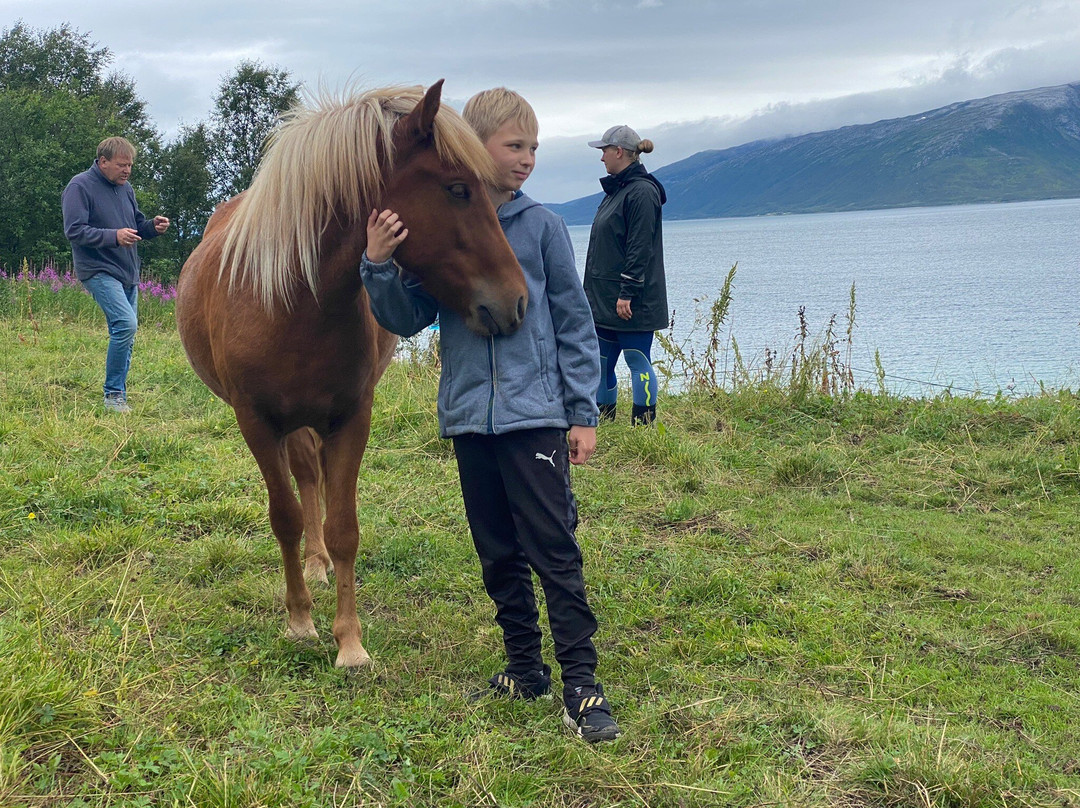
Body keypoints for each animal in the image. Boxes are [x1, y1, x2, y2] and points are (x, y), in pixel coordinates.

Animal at [177, 80, 527, 669]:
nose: (517, 301)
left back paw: (318, 565)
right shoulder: (256, 422)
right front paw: (299, 622)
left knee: (312, 480)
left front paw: (350, 642)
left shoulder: (350, 418)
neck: (291, 300)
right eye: (458, 189)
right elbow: (285, 517)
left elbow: (343, 528)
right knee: (303, 481)